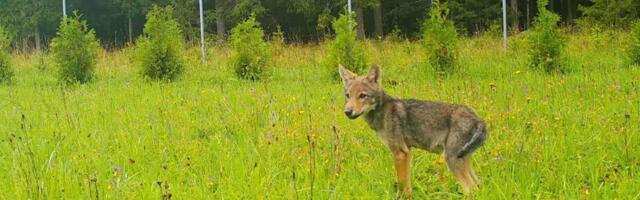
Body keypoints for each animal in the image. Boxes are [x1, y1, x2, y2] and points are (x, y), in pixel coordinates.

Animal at [338, 64, 488, 197]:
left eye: (362, 95)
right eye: (348, 95)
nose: (347, 112)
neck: (383, 110)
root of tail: (478, 119)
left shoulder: (400, 153)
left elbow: (402, 185)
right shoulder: (408, 152)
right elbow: (407, 184)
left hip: (452, 160)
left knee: (471, 189)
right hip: (463, 160)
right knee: (479, 186)